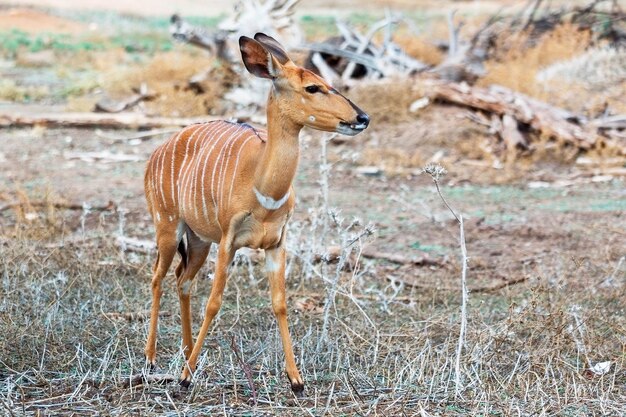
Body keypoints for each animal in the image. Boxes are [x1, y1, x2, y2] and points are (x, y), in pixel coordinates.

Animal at [144, 32, 368, 390]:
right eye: (312, 87)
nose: (362, 118)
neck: (261, 185)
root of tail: (157, 151)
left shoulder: (276, 244)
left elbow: (280, 304)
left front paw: (296, 379)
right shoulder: (228, 241)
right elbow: (214, 302)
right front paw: (186, 378)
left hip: (198, 239)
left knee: (182, 279)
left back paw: (189, 351)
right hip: (167, 226)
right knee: (157, 277)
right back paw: (153, 358)